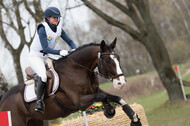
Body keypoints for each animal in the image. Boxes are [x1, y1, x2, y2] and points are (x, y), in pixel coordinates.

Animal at [0, 38, 141, 126]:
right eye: (107, 61)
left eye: (118, 58)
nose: (121, 83)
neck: (78, 69)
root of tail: (4, 98)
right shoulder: (80, 102)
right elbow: (102, 97)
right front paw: (109, 111)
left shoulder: (95, 91)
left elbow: (117, 98)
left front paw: (135, 119)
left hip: (35, 121)